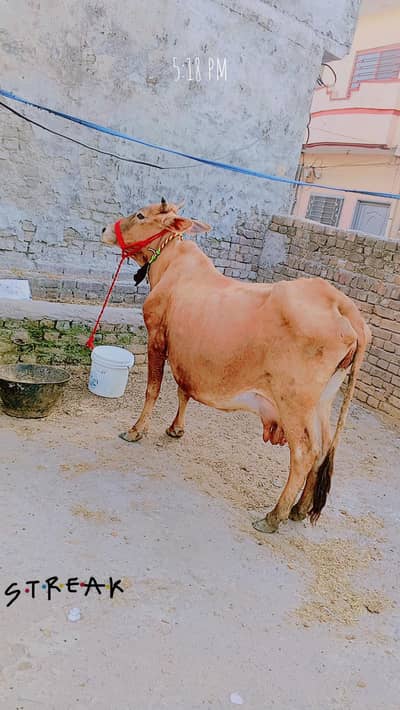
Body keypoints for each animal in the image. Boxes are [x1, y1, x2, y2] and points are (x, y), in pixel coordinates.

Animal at [101, 198, 371, 533]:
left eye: (140, 215)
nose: (104, 229)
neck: (170, 267)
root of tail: (340, 303)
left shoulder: (157, 338)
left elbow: (153, 389)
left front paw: (136, 430)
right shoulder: (186, 353)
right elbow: (183, 391)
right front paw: (175, 429)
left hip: (294, 402)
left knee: (305, 453)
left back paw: (274, 515)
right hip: (322, 402)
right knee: (322, 448)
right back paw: (299, 509)